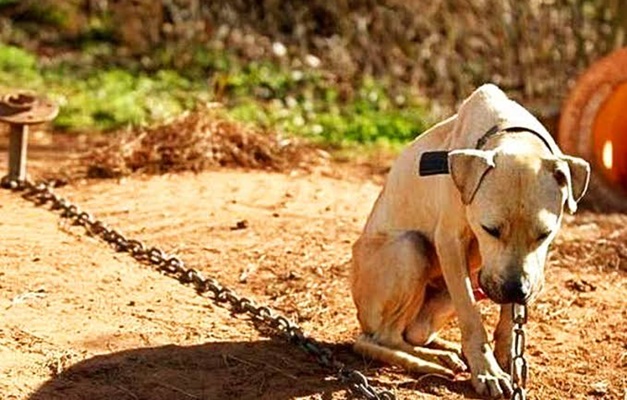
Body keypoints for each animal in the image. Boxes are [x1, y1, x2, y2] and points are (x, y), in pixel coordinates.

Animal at [350, 83, 592, 396]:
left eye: (545, 234)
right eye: (490, 230)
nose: (517, 291)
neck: (510, 132)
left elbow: (508, 320)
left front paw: (507, 359)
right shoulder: (450, 242)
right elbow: (472, 318)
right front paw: (488, 372)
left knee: (412, 334)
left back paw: (445, 351)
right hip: (409, 248)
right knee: (382, 337)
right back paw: (433, 361)